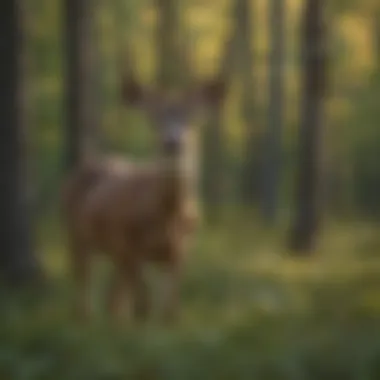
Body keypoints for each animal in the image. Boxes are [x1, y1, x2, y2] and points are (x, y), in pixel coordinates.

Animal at [60, 72, 224, 326]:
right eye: (154, 118)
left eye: (192, 117)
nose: (172, 142)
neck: (169, 216)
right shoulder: (130, 247)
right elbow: (143, 308)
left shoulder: (180, 252)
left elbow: (170, 311)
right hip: (76, 235)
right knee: (84, 290)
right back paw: (86, 321)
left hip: (112, 251)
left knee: (113, 299)